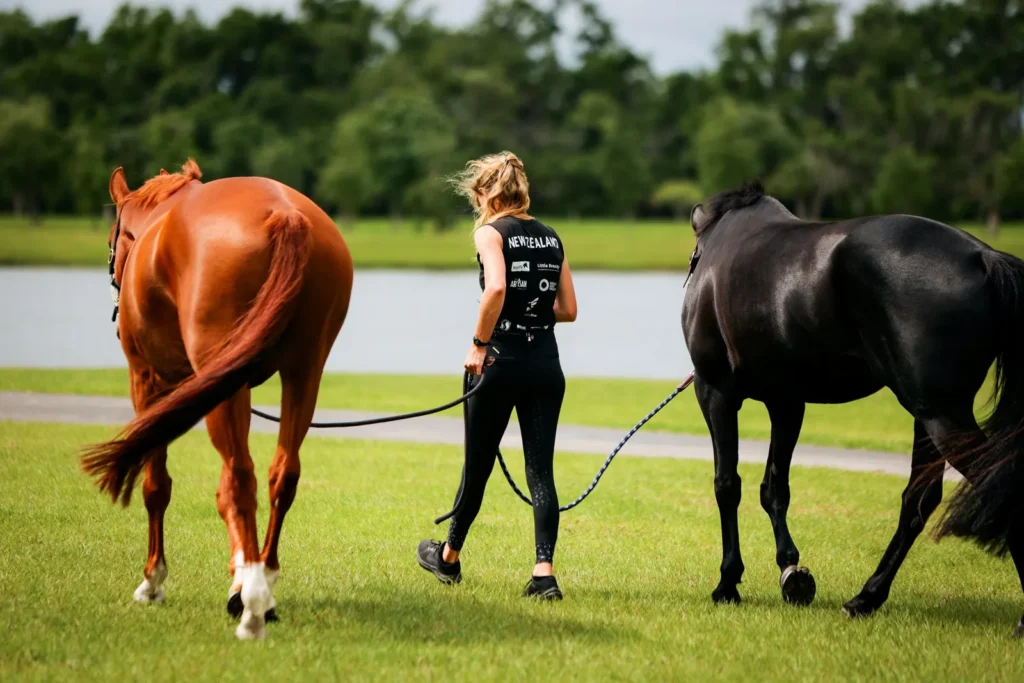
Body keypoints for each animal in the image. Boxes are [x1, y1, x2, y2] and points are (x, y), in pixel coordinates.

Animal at [80, 159, 354, 640]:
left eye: (113, 241)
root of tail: (286, 215)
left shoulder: (148, 382)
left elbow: (157, 484)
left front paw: (153, 581)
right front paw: (241, 573)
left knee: (240, 478)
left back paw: (252, 605)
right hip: (303, 375)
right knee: (281, 475)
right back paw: (263, 579)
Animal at [682, 180, 1024, 636]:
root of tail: (982, 257)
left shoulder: (715, 391)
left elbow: (727, 484)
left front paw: (728, 583)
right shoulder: (786, 400)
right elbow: (774, 487)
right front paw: (791, 573)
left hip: (942, 415)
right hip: (930, 415)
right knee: (918, 500)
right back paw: (866, 597)